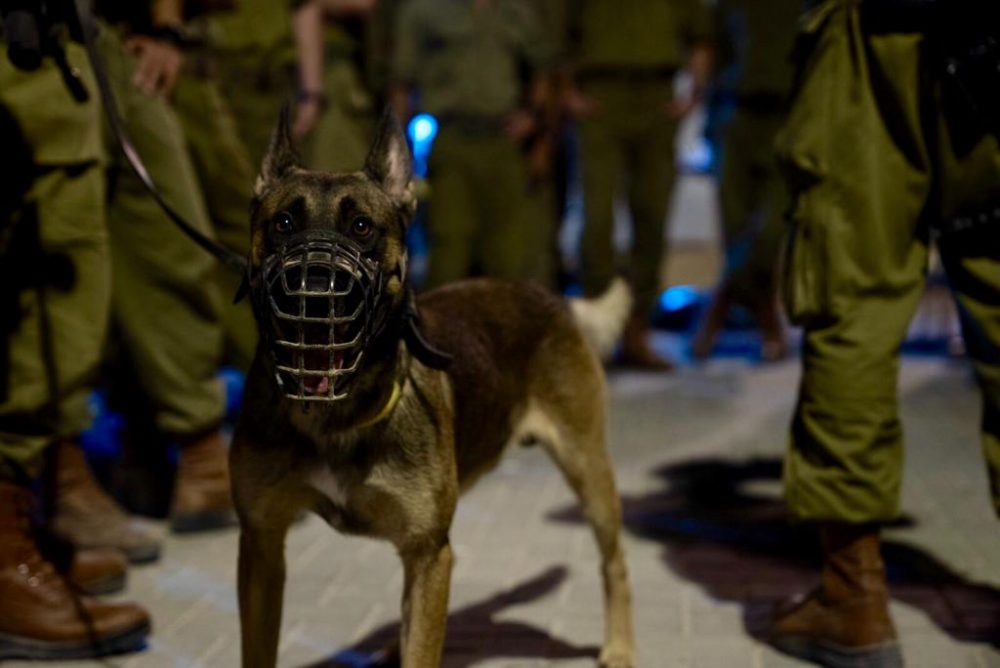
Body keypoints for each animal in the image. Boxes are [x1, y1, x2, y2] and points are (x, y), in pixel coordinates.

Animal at [233, 112, 636, 664]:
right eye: (284, 223)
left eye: (362, 226)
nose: (314, 291)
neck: (334, 412)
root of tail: (550, 296)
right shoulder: (261, 546)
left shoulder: (430, 555)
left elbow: (422, 648)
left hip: (588, 469)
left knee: (614, 561)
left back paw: (618, 645)